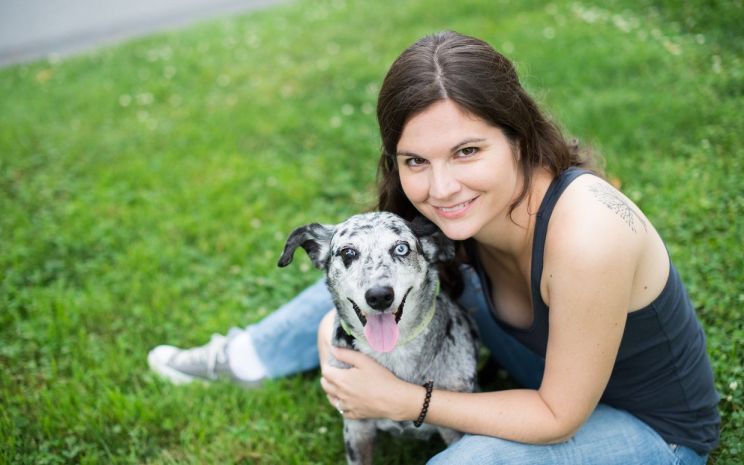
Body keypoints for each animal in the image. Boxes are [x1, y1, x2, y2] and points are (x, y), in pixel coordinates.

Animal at [276, 211, 480, 464]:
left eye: (401, 248)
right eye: (348, 252)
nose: (379, 296)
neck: (393, 353)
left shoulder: (455, 431)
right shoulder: (356, 430)